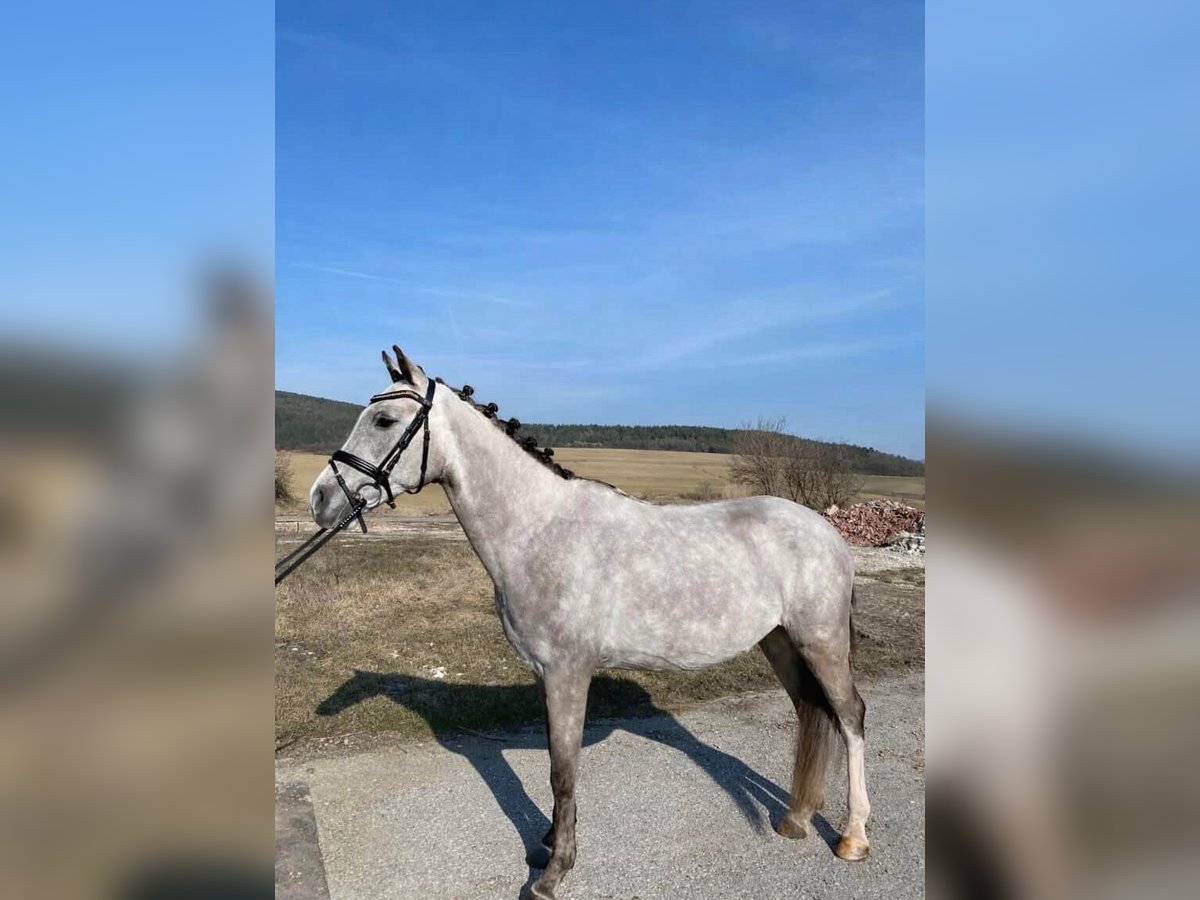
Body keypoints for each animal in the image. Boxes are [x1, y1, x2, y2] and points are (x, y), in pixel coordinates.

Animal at [307, 347, 871, 899]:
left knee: (849, 717)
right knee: (811, 711)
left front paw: (554, 872)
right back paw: (796, 819)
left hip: (821, 642)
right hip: (780, 643)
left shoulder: (567, 672)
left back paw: (852, 837)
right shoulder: (546, 674)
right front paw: (549, 845)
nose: (321, 499)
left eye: (384, 419)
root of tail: (827, 532)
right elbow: (556, 766)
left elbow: (563, 771)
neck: (538, 529)